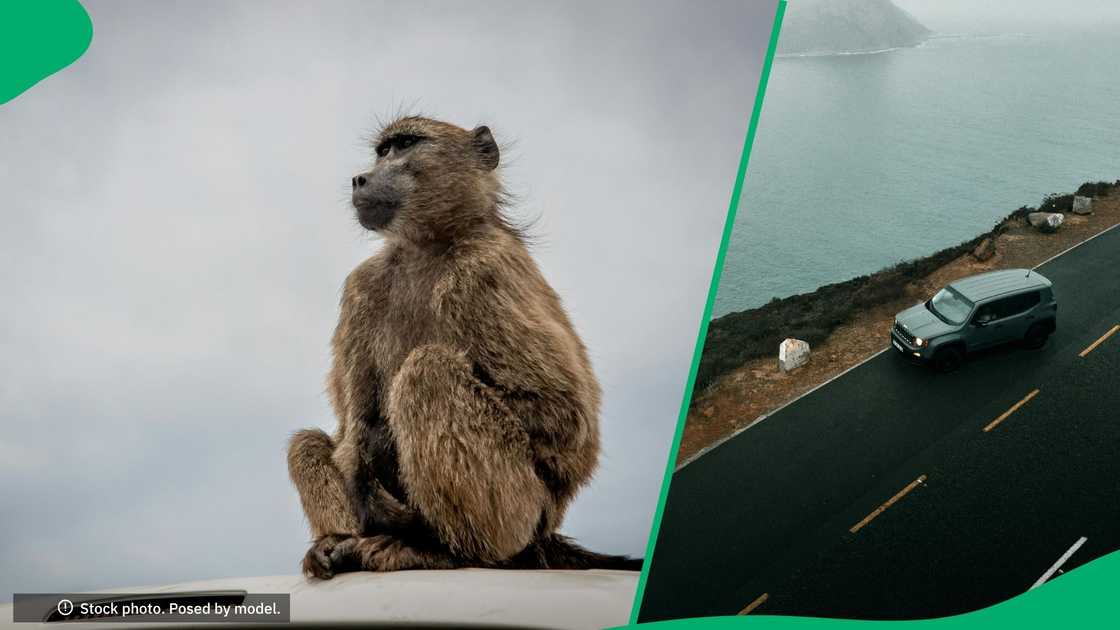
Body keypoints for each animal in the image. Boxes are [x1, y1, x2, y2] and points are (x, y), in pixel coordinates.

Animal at [286, 115, 642, 577]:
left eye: (406, 144)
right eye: (382, 151)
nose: (360, 178)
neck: (426, 246)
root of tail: (543, 532)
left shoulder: (481, 271)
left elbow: (564, 416)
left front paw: (378, 449)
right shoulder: (359, 290)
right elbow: (351, 426)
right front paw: (363, 459)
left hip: (520, 510)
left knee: (428, 371)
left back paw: (442, 549)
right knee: (308, 442)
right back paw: (336, 543)